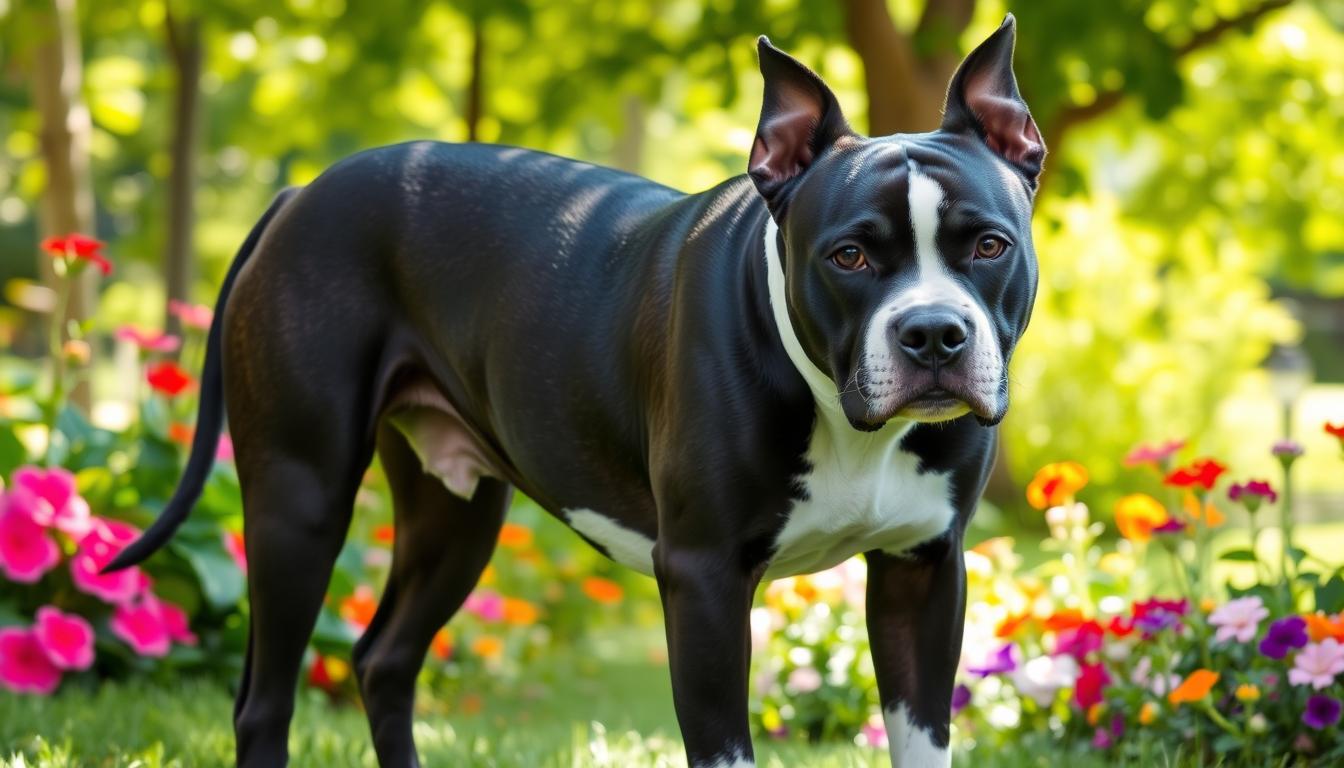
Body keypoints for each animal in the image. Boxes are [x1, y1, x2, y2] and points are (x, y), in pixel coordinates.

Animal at [110, 13, 1042, 768]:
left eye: (989, 245)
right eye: (849, 255)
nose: (933, 333)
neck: (847, 421)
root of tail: (300, 194)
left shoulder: (922, 571)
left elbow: (921, 739)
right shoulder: (704, 581)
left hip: (455, 517)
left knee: (384, 660)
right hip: (298, 502)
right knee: (265, 702)